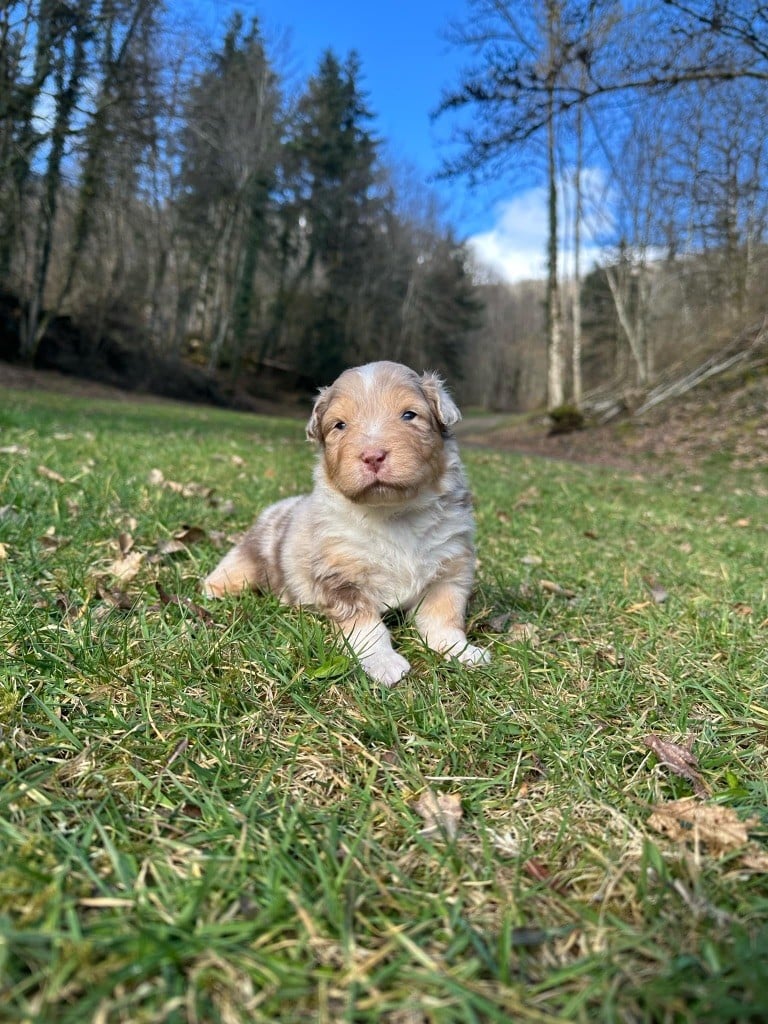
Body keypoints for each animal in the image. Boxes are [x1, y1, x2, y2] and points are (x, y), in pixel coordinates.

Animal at [201, 360, 489, 688]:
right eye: (340, 425)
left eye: (409, 415)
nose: (373, 456)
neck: (394, 514)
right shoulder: (342, 578)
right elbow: (367, 629)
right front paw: (384, 663)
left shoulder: (450, 567)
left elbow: (443, 617)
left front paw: (461, 651)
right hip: (250, 558)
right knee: (230, 571)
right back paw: (212, 591)